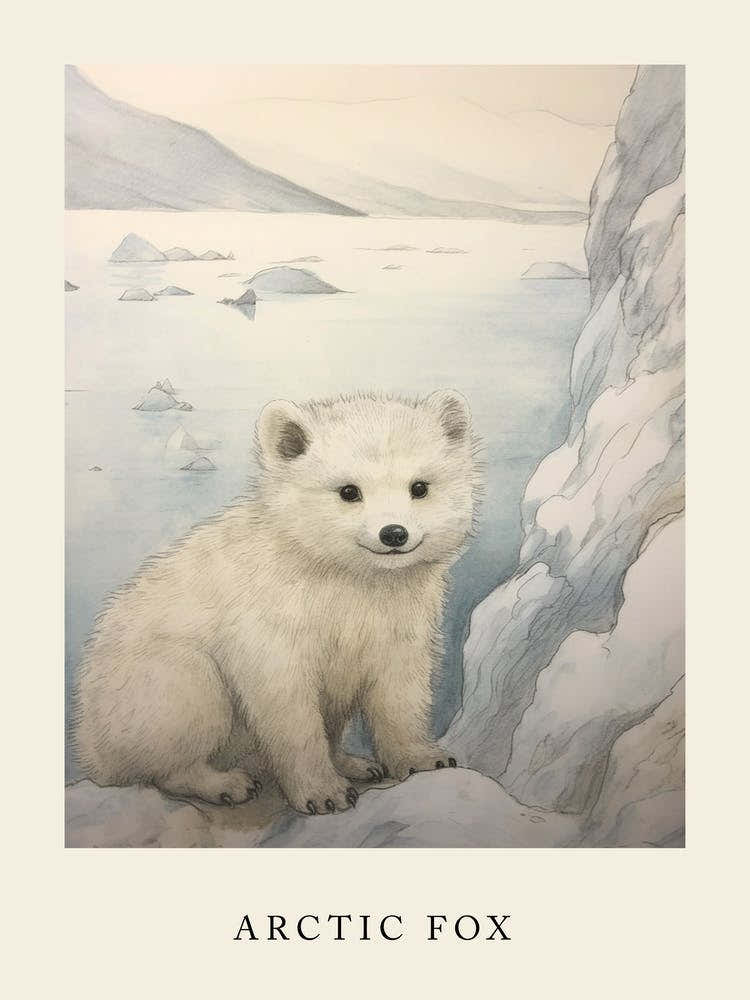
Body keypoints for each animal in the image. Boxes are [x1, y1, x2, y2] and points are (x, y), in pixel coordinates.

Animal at [73, 390, 481, 814]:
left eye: (419, 486)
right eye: (349, 491)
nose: (394, 533)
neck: (347, 578)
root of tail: (88, 745)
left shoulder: (399, 616)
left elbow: (400, 688)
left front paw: (425, 758)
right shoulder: (271, 620)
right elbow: (288, 705)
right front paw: (324, 793)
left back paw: (355, 763)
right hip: (151, 683)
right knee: (186, 711)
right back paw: (225, 783)